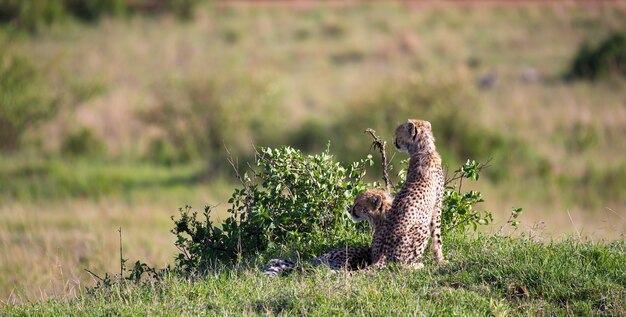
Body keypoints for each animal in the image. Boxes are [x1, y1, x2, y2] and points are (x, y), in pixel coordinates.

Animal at [368, 119, 446, 268]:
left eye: (398, 133)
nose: (394, 142)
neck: (424, 149)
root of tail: (383, 253)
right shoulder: (437, 207)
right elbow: (437, 236)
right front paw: (441, 260)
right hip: (421, 230)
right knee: (399, 265)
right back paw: (417, 265)